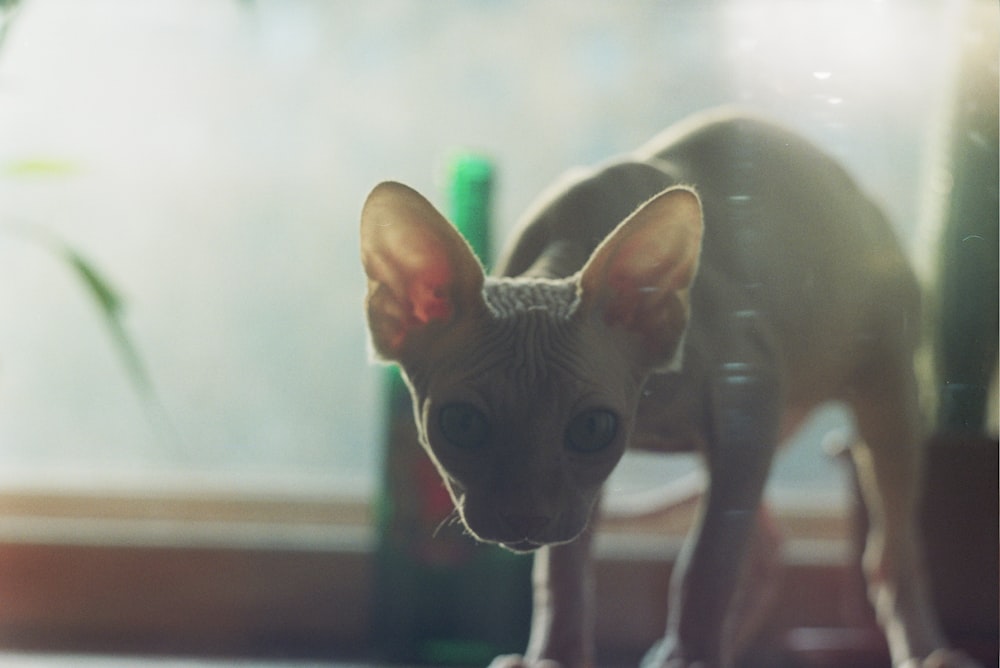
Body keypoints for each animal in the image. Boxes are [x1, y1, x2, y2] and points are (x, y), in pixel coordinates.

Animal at [360, 109, 976, 668]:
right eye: (462, 424)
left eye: (591, 428)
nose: (525, 518)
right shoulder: (603, 483)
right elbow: (564, 570)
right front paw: (555, 657)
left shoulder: (747, 397)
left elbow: (707, 562)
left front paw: (690, 653)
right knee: (764, 548)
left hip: (885, 385)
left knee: (886, 546)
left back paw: (923, 650)